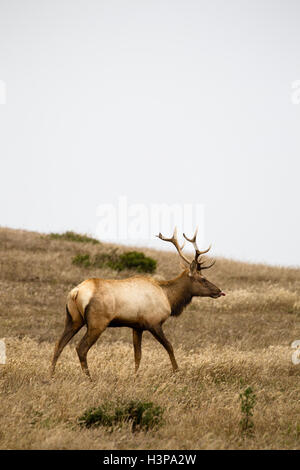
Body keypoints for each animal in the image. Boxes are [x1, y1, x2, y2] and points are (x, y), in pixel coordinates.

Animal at [51, 228, 225, 378]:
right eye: (203, 279)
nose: (219, 291)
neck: (168, 298)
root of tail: (76, 292)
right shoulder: (153, 323)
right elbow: (169, 346)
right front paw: (177, 372)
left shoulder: (137, 326)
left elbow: (138, 355)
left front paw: (135, 376)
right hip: (97, 322)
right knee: (81, 348)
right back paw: (89, 378)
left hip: (73, 319)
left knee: (59, 344)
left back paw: (51, 374)